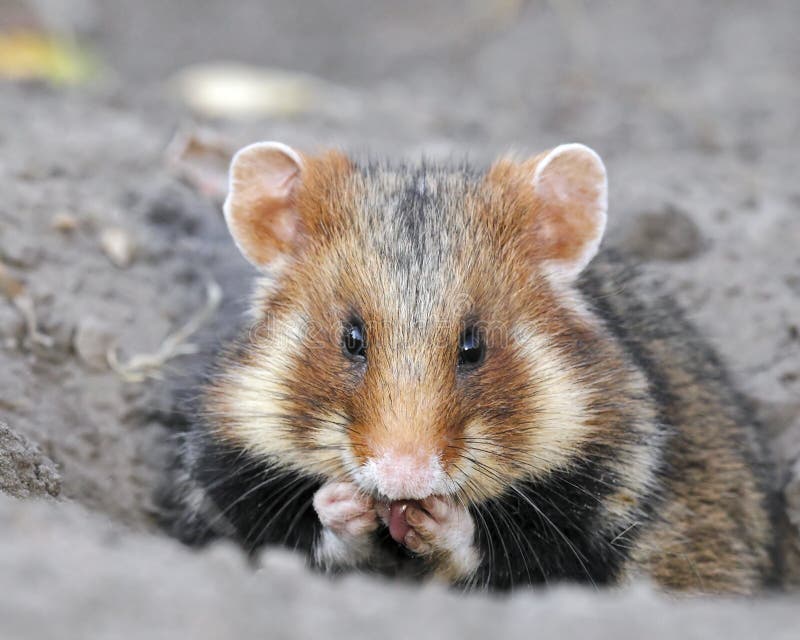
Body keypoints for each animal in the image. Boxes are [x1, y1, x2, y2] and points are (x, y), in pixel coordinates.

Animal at [159, 141, 780, 596]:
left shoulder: (599, 505)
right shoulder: (225, 480)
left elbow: (499, 551)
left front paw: (439, 517)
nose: (403, 480)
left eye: (473, 347)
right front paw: (344, 503)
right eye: (351, 339)